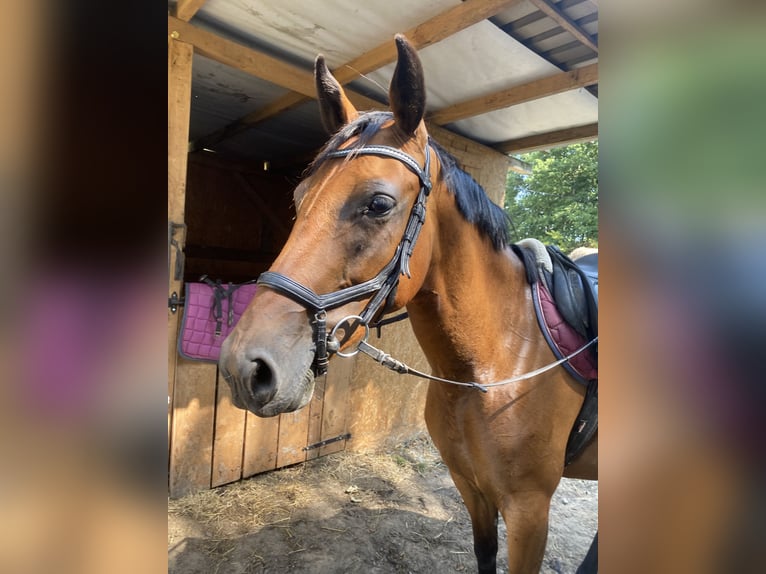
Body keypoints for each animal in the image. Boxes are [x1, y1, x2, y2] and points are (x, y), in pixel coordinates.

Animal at [219, 35, 596, 574]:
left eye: (378, 204)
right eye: (299, 197)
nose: (242, 367)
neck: (497, 360)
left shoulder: (530, 512)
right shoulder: (471, 488)